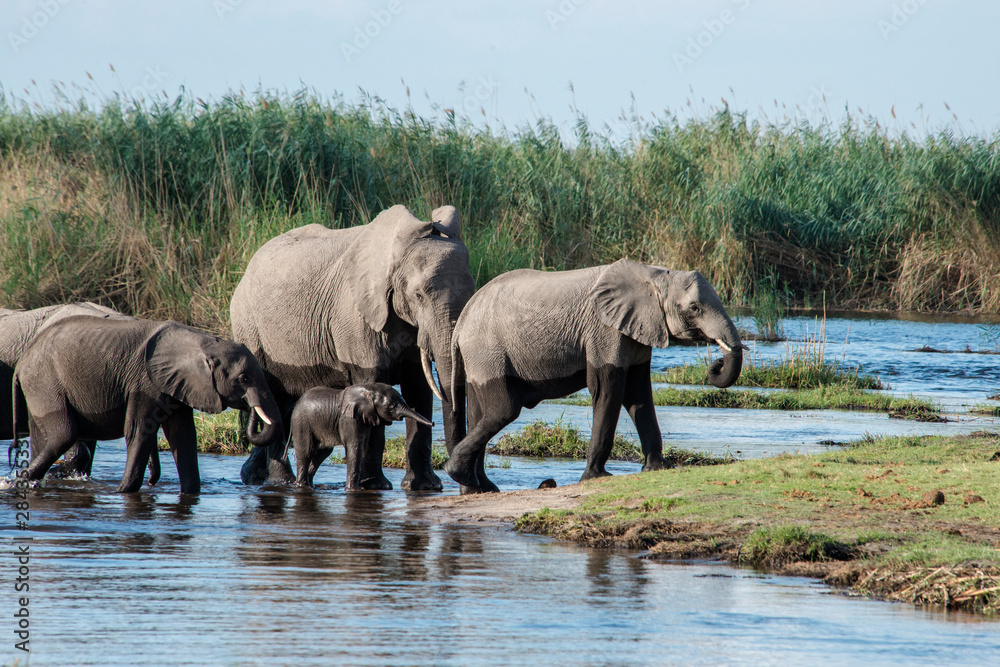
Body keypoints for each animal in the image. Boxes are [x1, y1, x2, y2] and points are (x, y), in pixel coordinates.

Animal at [14, 317, 282, 494]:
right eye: (243, 379)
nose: (251, 408)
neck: (203, 342)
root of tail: (22, 360)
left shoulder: (178, 385)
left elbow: (183, 435)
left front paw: (191, 492)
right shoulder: (144, 383)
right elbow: (139, 431)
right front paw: (123, 492)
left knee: (42, 438)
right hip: (44, 382)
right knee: (64, 434)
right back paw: (16, 483)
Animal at [290, 383, 433, 488]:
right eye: (391, 406)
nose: (433, 423)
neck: (369, 390)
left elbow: (363, 445)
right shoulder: (349, 419)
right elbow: (354, 446)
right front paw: (354, 489)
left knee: (321, 454)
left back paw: (310, 485)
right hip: (301, 422)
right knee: (306, 452)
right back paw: (302, 485)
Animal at [443, 259, 745, 493]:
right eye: (695, 308)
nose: (717, 363)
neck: (654, 275)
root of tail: (461, 324)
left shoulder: (635, 330)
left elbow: (638, 393)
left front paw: (660, 468)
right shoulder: (604, 331)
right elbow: (608, 389)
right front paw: (597, 477)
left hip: (479, 356)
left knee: (480, 412)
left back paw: (479, 487)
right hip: (487, 350)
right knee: (503, 410)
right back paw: (460, 474)